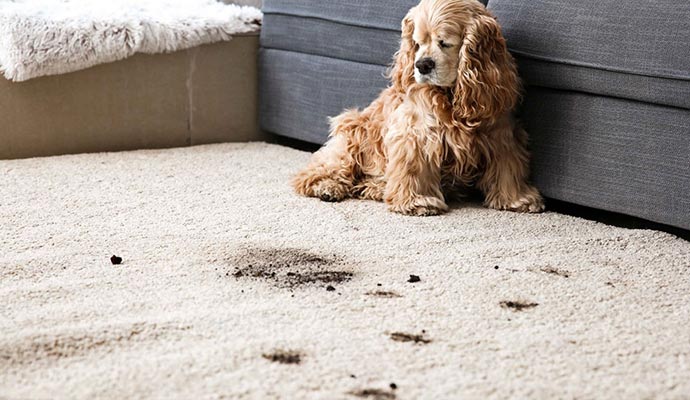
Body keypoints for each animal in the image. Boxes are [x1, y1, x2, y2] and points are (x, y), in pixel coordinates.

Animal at [290, 0, 544, 216]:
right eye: (417, 43)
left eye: (445, 43)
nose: (422, 65)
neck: (451, 96)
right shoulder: (416, 134)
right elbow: (414, 168)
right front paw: (417, 202)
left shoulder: (501, 134)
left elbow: (508, 167)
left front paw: (517, 199)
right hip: (351, 136)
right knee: (314, 172)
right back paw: (327, 187)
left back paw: (376, 188)